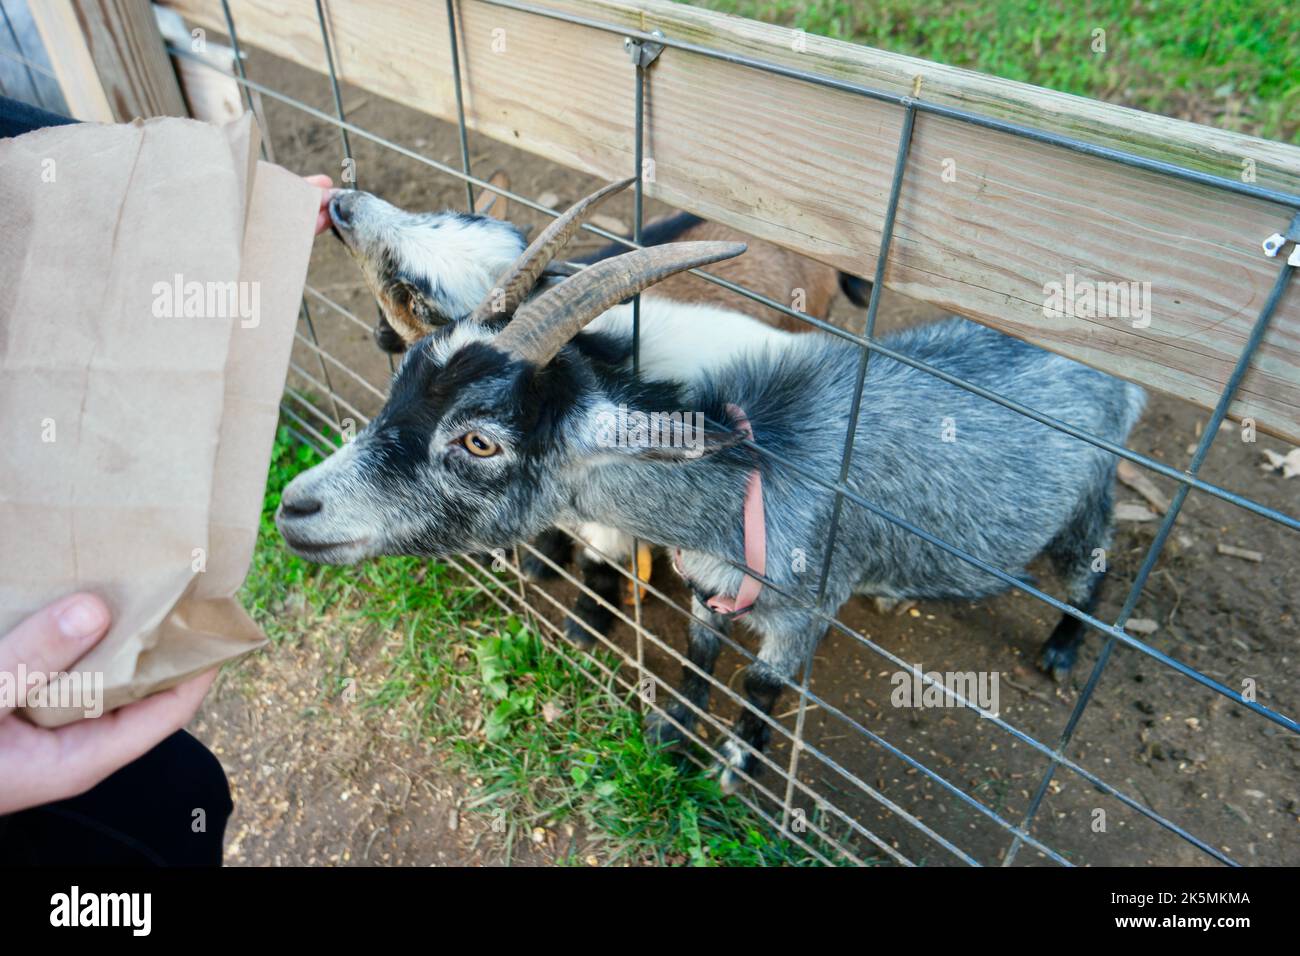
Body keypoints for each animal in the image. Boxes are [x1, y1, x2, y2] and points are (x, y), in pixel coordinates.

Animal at [282, 184, 1149, 790]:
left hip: (1085, 497)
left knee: (1093, 561)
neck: (749, 484)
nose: (296, 505)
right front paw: (671, 734)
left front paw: (734, 766)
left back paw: (1063, 649)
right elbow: (698, 653)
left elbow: (760, 681)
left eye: (479, 440)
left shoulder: (803, 610)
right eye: (405, 375)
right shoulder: (707, 582)